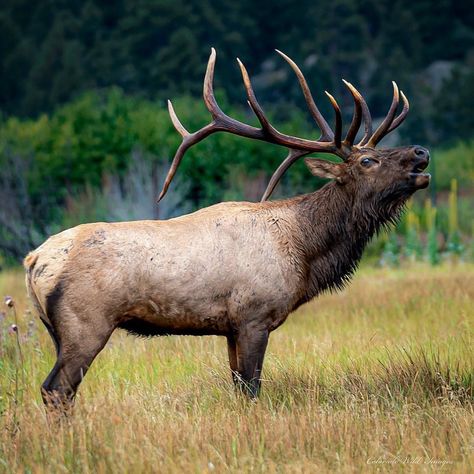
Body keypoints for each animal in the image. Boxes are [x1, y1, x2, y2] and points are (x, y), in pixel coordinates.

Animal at [23, 48, 430, 406]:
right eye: (367, 160)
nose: (421, 153)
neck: (304, 251)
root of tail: (34, 260)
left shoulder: (230, 328)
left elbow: (238, 387)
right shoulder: (253, 316)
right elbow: (251, 389)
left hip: (57, 330)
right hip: (86, 323)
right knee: (56, 389)